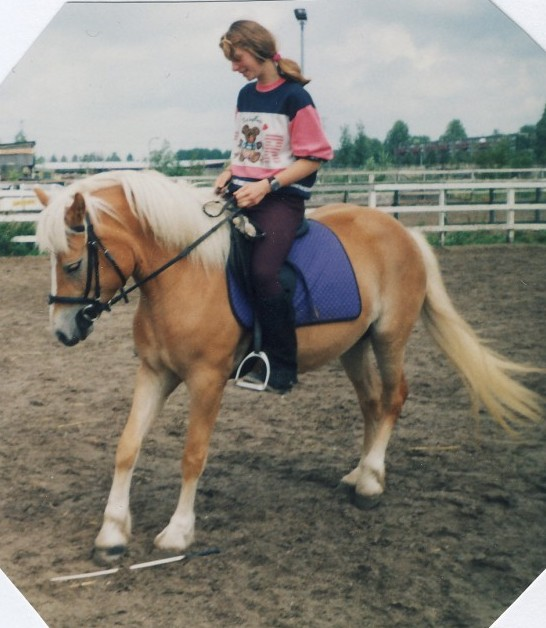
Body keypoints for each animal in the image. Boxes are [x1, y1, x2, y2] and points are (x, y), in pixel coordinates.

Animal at [35, 169, 540, 560]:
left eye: (74, 264)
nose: (62, 332)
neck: (185, 274)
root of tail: (404, 233)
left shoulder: (207, 381)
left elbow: (193, 455)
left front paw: (177, 532)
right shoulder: (155, 373)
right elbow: (127, 446)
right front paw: (112, 533)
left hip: (388, 337)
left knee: (395, 397)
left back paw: (371, 484)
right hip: (354, 346)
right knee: (373, 403)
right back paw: (359, 473)